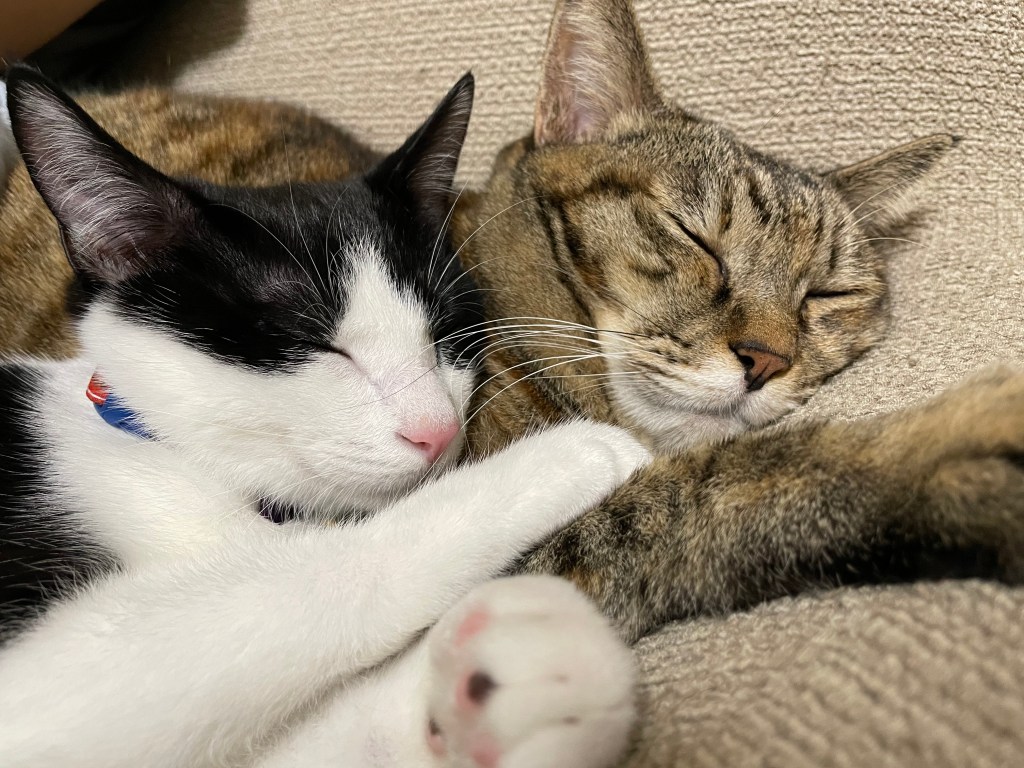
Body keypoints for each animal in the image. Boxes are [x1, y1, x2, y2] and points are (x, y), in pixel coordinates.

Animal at [0, 66, 649, 768]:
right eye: (314, 341)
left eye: (444, 330)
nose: (438, 430)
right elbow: (301, 584)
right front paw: (567, 457)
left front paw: (516, 679)